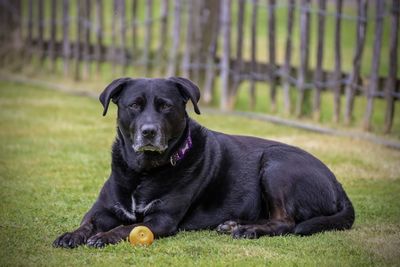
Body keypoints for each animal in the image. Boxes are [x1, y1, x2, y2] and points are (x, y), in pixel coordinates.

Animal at [52, 77, 354, 249]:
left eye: (165, 106)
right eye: (134, 105)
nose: (149, 131)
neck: (143, 172)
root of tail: (339, 185)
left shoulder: (161, 219)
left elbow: (125, 228)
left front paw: (104, 237)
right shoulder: (103, 209)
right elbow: (87, 222)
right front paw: (71, 235)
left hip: (276, 164)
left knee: (285, 223)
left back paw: (248, 230)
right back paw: (234, 225)